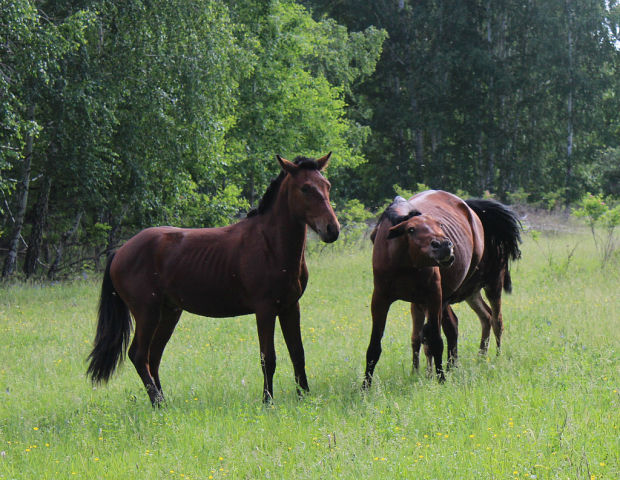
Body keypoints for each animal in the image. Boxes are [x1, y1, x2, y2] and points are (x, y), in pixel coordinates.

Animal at [86, 154, 340, 404]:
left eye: (327, 185)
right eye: (305, 188)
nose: (332, 229)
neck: (271, 245)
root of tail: (120, 252)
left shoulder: (290, 307)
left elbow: (298, 353)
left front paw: (305, 396)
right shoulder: (265, 309)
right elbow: (268, 357)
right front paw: (267, 401)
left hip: (168, 313)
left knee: (153, 357)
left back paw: (163, 403)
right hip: (147, 313)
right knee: (139, 355)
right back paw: (158, 402)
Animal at [360, 189, 520, 388]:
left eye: (439, 224)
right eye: (411, 229)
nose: (445, 245)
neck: (405, 263)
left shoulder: (433, 297)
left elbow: (435, 340)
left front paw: (440, 378)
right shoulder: (382, 299)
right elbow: (376, 346)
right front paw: (365, 386)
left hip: (491, 285)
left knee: (496, 321)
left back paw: (494, 358)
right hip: (469, 294)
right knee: (482, 318)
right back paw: (473, 359)